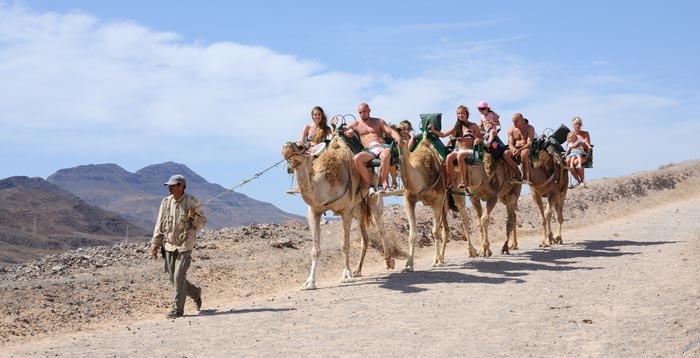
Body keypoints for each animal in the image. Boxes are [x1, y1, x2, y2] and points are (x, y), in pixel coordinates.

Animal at [282, 136, 392, 290]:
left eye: (301, 146)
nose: (286, 146)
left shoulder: (346, 211)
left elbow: (345, 245)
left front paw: (346, 276)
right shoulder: (314, 212)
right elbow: (315, 250)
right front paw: (309, 282)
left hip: (374, 197)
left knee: (381, 227)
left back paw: (389, 262)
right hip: (358, 210)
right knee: (365, 238)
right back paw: (358, 270)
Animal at [396, 134, 452, 272]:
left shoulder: (438, 199)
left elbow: (435, 231)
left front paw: (437, 262)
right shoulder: (408, 200)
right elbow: (412, 234)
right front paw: (409, 265)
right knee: (444, 227)